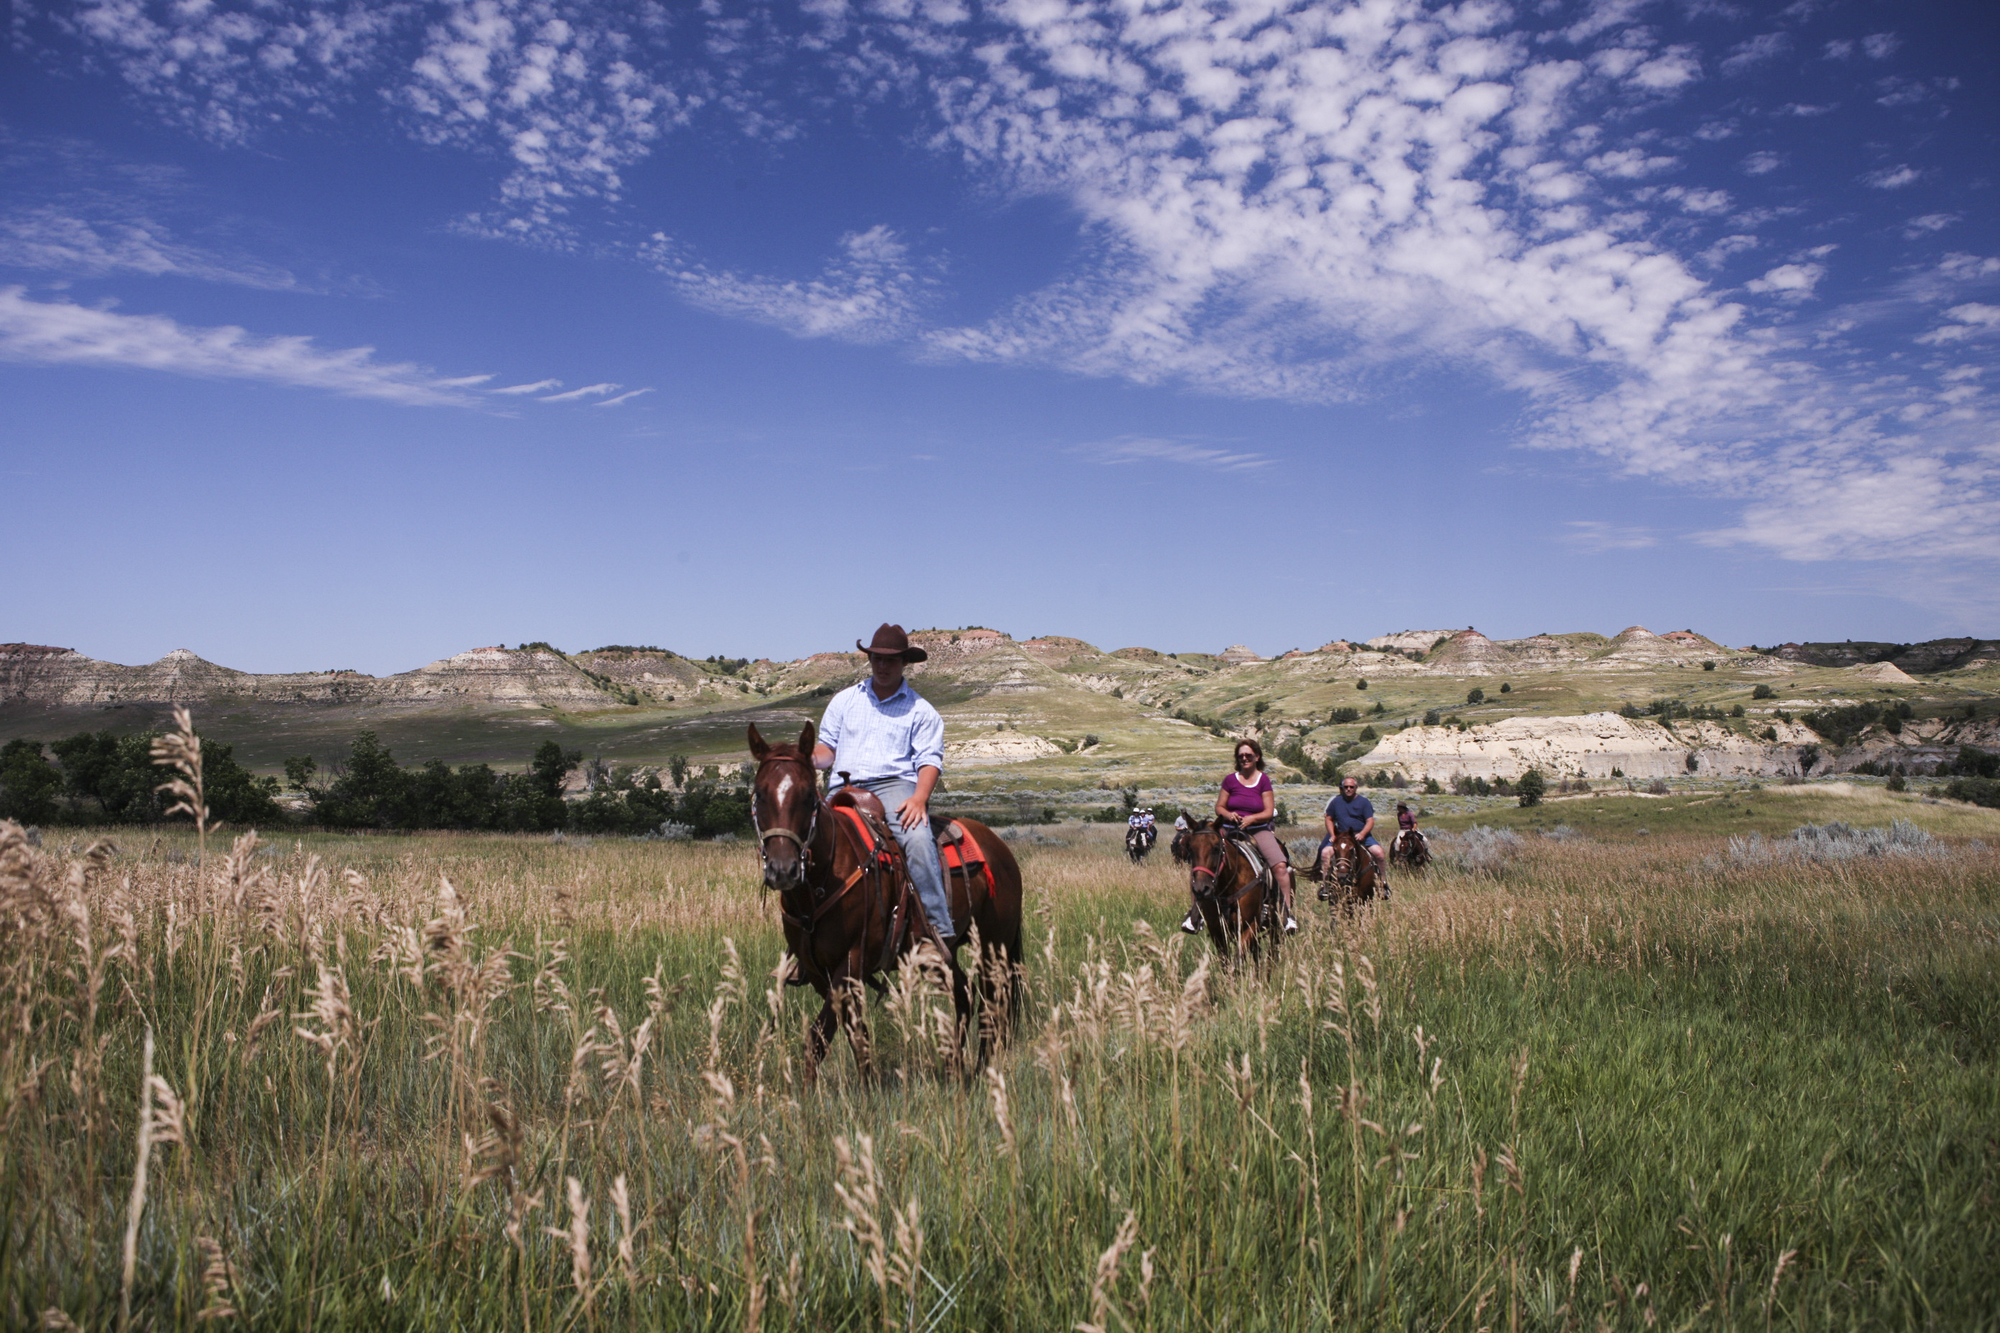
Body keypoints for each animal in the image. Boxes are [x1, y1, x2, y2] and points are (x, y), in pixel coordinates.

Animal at [752, 716, 1032, 1080]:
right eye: (759, 794)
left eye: (807, 795)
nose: (783, 869)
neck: (818, 885)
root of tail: (999, 847)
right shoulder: (816, 970)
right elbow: (848, 1034)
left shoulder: (850, 962)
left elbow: (824, 1036)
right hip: (945, 954)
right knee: (964, 996)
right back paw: (955, 1068)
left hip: (993, 947)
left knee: (991, 1006)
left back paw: (982, 1071)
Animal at [1176, 808, 1272, 956]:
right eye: (1191, 849)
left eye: (1216, 848)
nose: (1201, 889)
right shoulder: (1217, 932)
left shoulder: (1250, 926)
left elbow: (1238, 958)